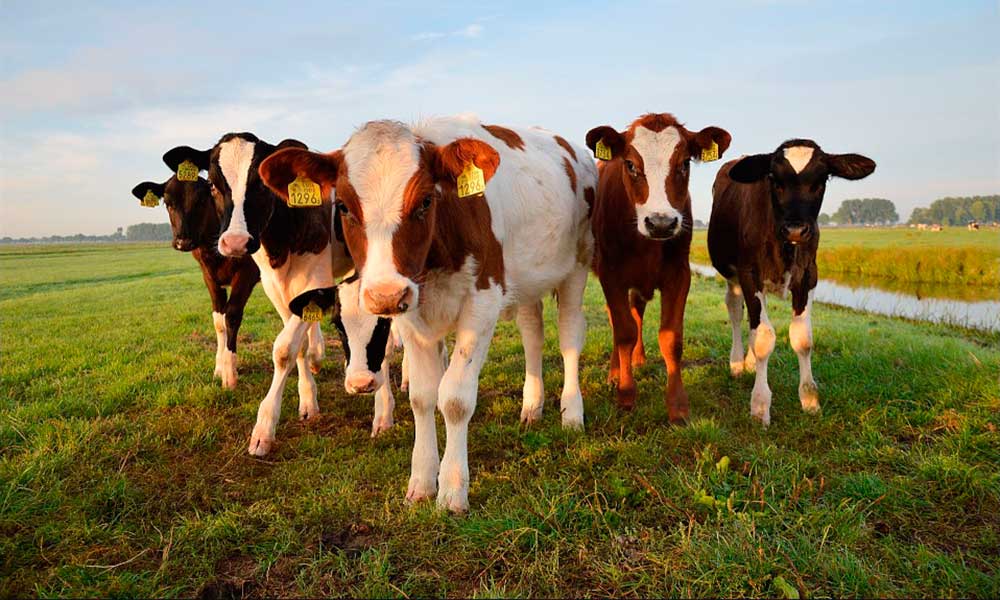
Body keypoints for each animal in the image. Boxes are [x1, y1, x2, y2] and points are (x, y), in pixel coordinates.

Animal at [162, 135, 354, 454]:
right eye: (212, 184)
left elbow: (284, 348)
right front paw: (308, 398)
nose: (235, 242)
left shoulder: (311, 278)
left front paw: (264, 428)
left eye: (262, 184)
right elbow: (298, 345)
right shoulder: (273, 285)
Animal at [262, 113, 596, 510]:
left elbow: (454, 397)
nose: (385, 294)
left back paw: (572, 413)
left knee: (570, 336)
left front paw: (452, 489)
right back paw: (532, 405)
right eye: (342, 206)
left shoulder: (483, 301)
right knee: (532, 333)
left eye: (424, 201)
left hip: (577, 265)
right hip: (527, 279)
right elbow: (422, 396)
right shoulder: (411, 311)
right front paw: (422, 481)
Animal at [584, 112, 736, 422]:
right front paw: (626, 395)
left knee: (637, 311)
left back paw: (638, 358)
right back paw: (615, 372)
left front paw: (677, 406)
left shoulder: (679, 274)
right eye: (630, 164)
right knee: (618, 322)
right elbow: (624, 332)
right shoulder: (611, 275)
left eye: (684, 163)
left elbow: (671, 338)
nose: (661, 223)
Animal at [712, 139, 876, 426]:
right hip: (732, 276)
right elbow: (764, 337)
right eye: (774, 179)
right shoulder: (749, 274)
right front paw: (760, 406)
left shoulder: (809, 276)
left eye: (821, 180)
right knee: (735, 310)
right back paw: (737, 363)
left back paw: (750, 363)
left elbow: (802, 339)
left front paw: (810, 399)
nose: (796, 230)